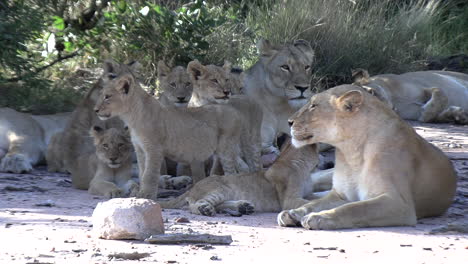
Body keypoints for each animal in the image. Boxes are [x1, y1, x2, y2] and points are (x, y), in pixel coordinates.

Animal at [278, 84, 458, 229]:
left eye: (313, 106)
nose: (288, 122)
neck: (351, 151)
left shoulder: (399, 204)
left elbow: (354, 209)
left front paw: (320, 217)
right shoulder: (341, 194)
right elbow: (314, 204)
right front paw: (294, 213)